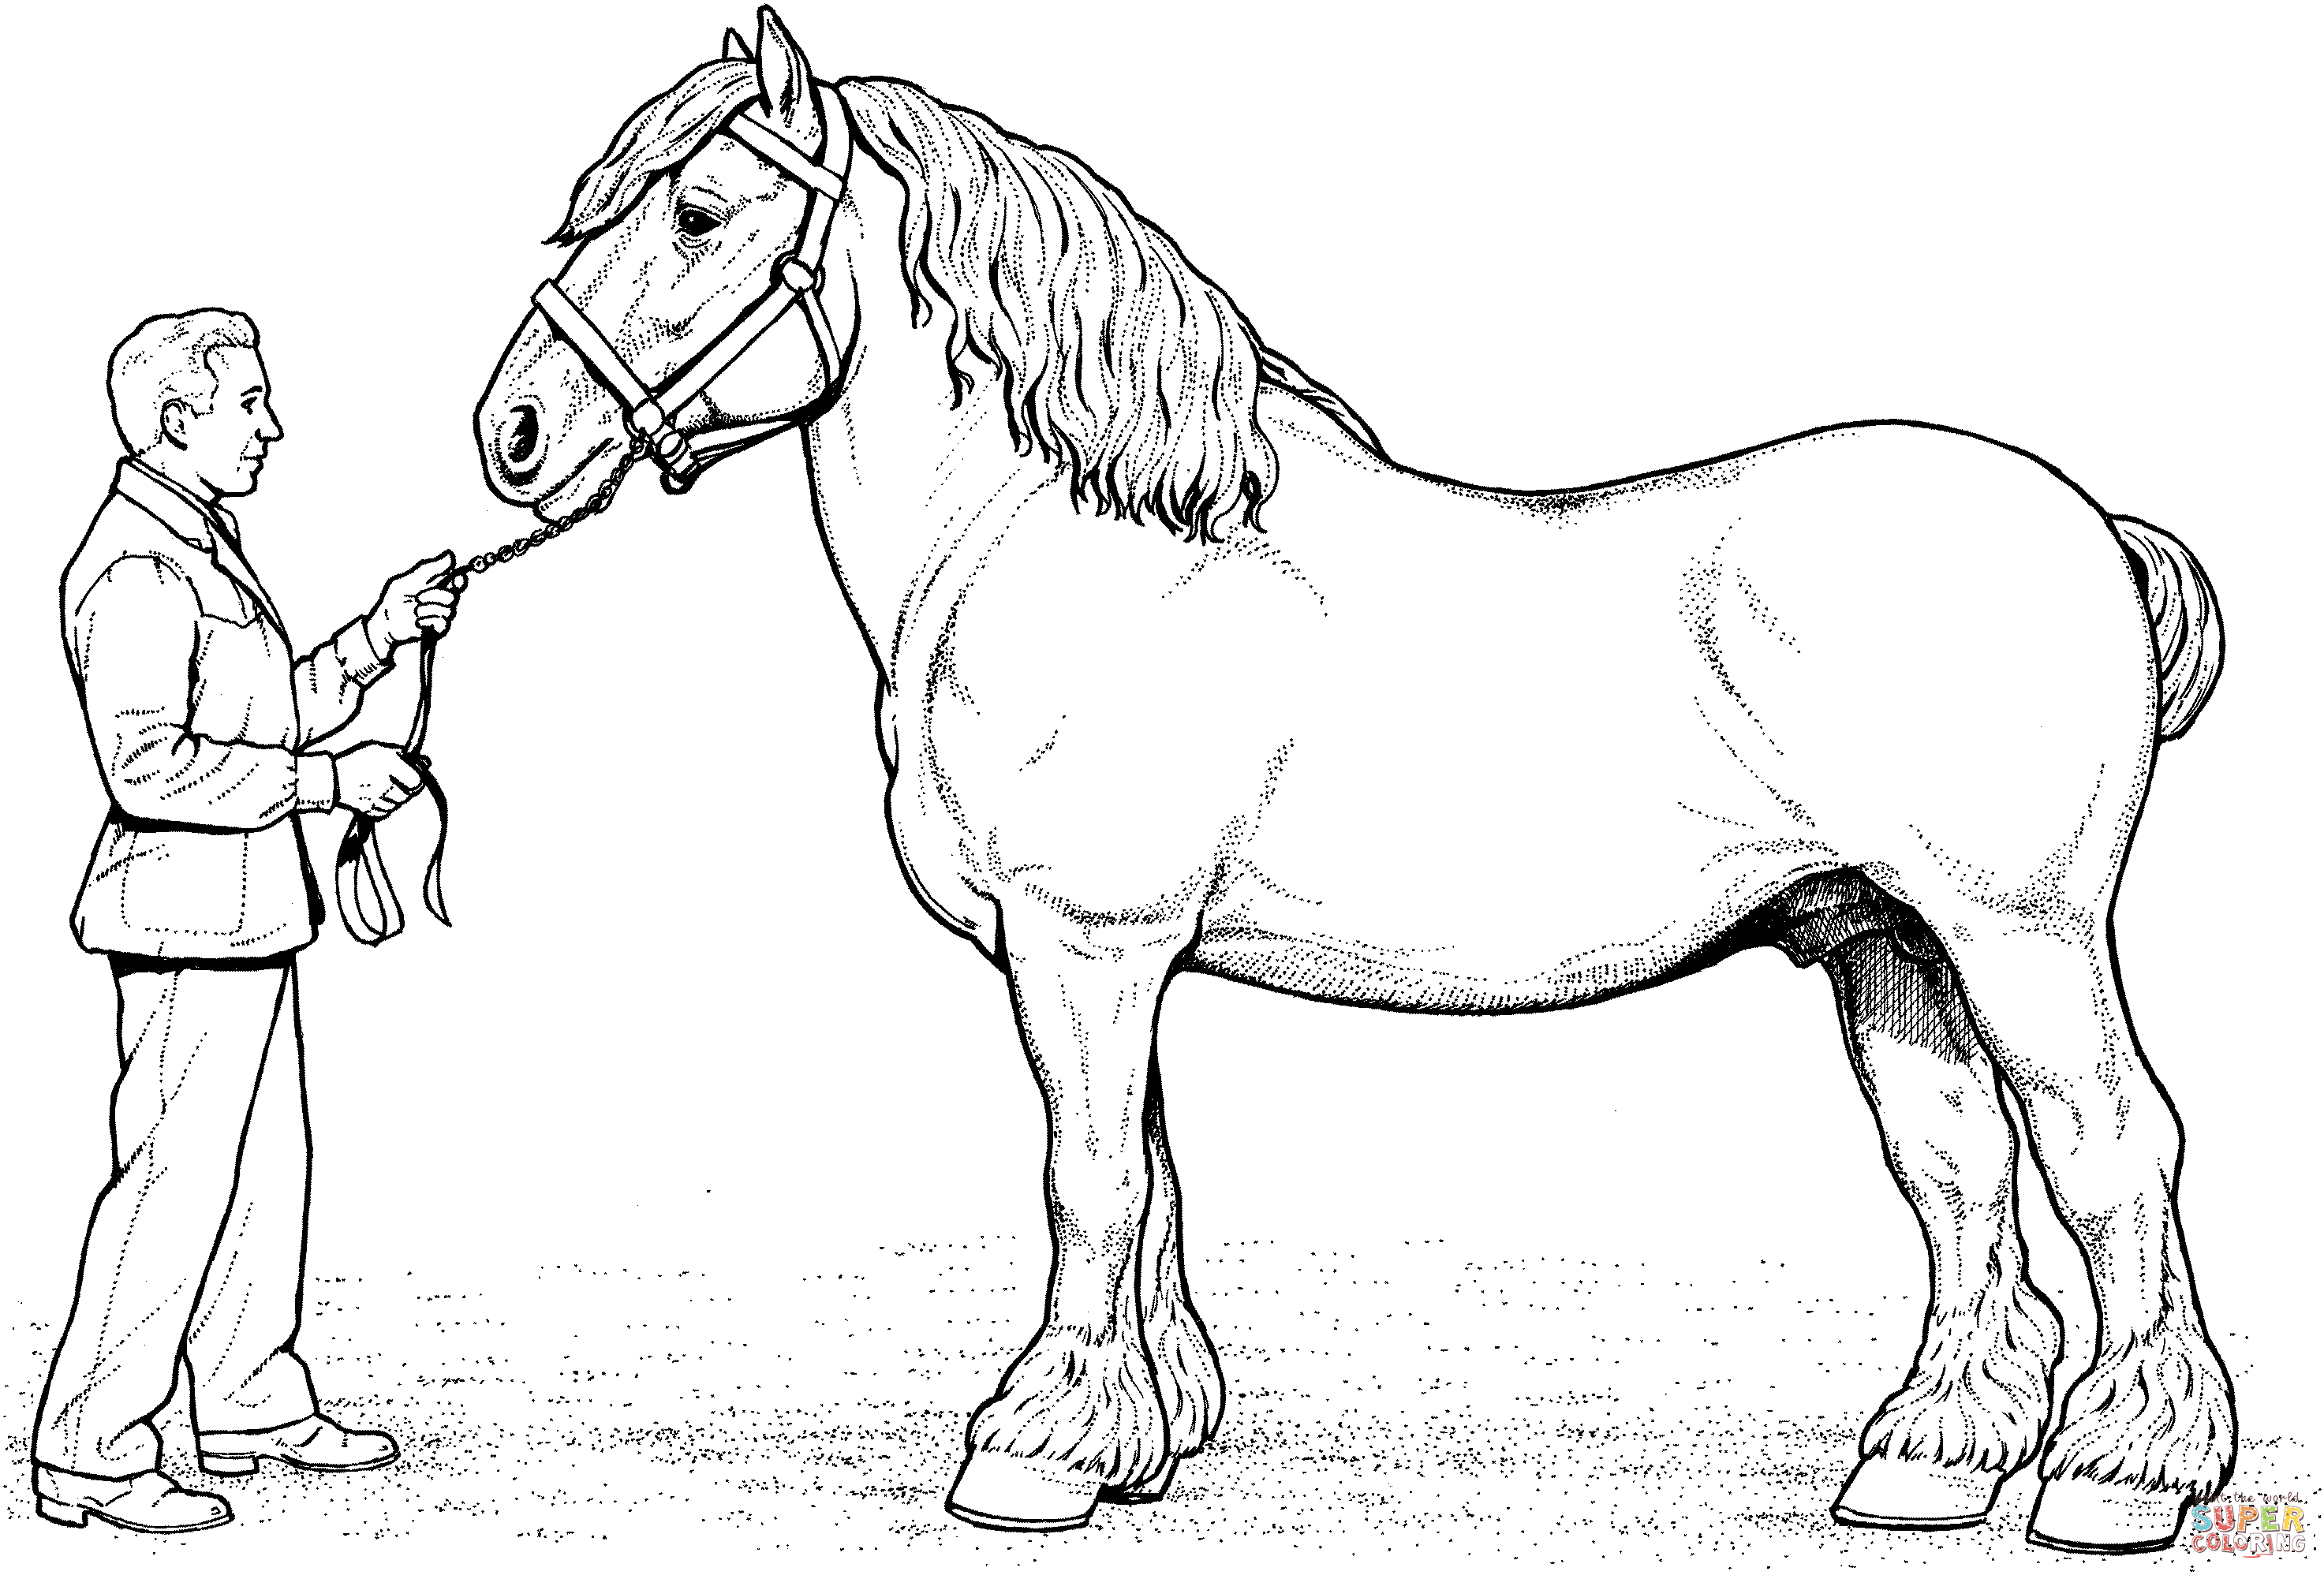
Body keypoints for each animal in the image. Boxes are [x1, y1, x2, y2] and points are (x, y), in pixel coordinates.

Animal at [472, 8, 2232, 1553]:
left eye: (701, 210)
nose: (516, 433)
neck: (1080, 545)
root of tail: (2091, 527)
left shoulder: (1085, 942)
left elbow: (1088, 1183)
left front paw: (1031, 1452)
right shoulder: (1116, 957)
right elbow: (1152, 1183)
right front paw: (1139, 1437)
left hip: (2017, 936)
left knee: (2109, 1149)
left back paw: (2116, 1481)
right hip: (1887, 941)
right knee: (1959, 1168)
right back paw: (1928, 1463)